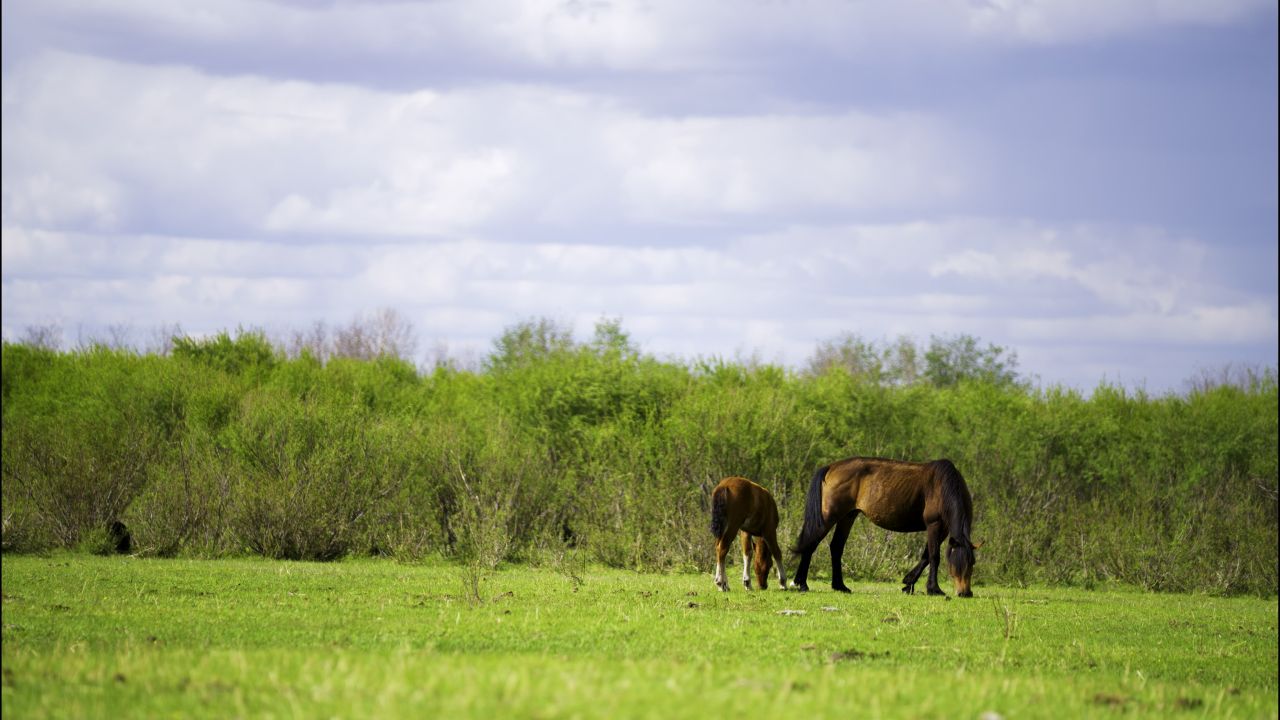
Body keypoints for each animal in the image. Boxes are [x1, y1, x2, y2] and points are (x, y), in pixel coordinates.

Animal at [791, 457, 980, 597]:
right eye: (954, 566)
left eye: (972, 563)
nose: (965, 593)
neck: (942, 485)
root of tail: (831, 467)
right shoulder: (934, 525)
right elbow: (934, 556)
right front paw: (934, 589)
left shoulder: (944, 529)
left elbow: (926, 556)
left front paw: (908, 583)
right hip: (829, 516)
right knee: (811, 543)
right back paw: (802, 583)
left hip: (847, 517)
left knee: (836, 547)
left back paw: (840, 586)